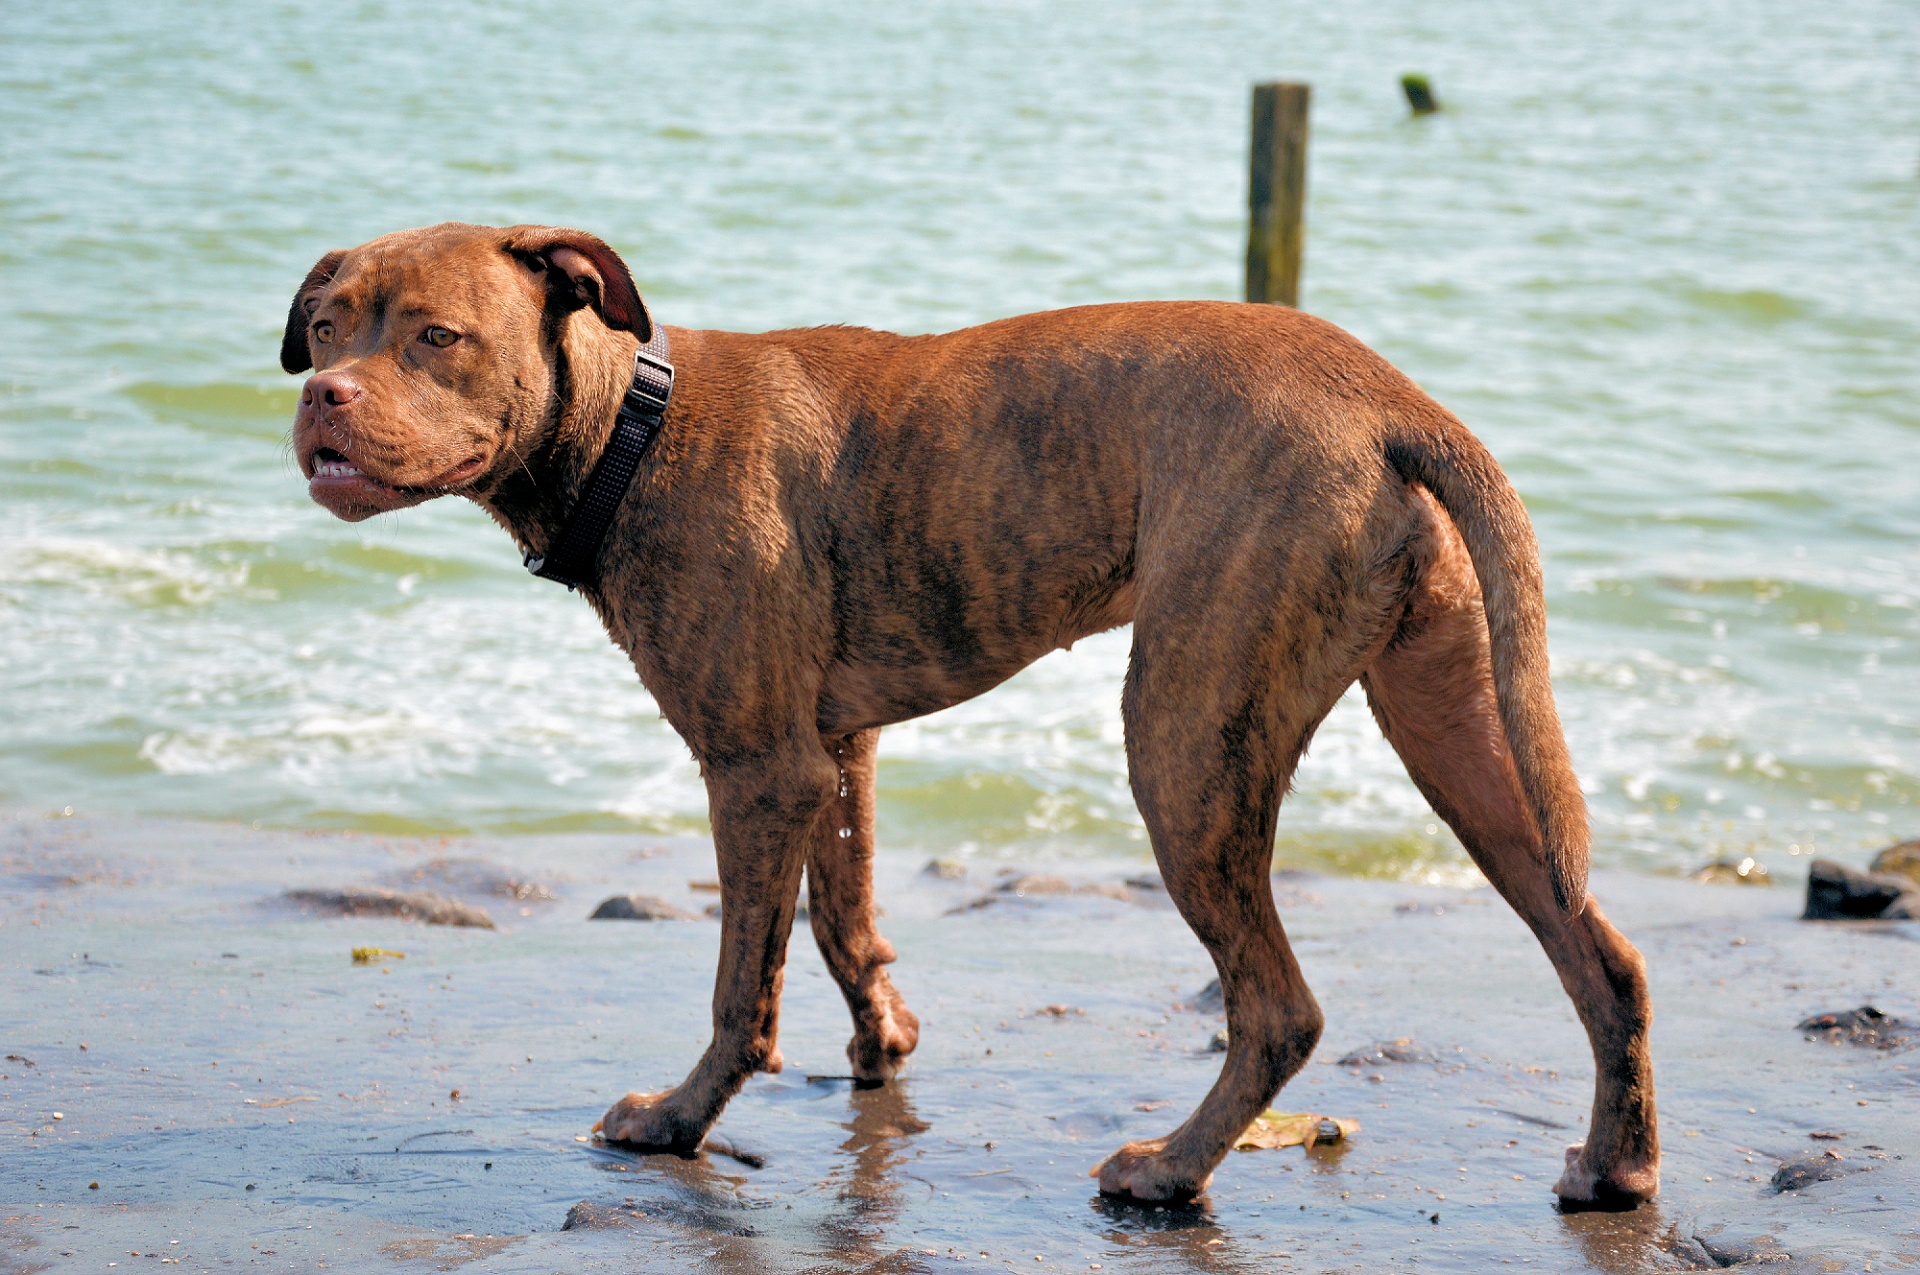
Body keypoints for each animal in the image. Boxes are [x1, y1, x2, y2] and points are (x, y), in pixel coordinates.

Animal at [278, 221, 1658, 1205]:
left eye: (439, 336)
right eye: (330, 325)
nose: (320, 396)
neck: (636, 426)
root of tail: (1390, 402)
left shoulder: (756, 767)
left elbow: (741, 987)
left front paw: (678, 1121)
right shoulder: (832, 755)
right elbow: (843, 921)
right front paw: (881, 1042)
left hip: (1188, 739)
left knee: (1279, 1008)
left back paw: (1168, 1172)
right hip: (1462, 736)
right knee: (1599, 953)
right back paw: (1618, 1167)